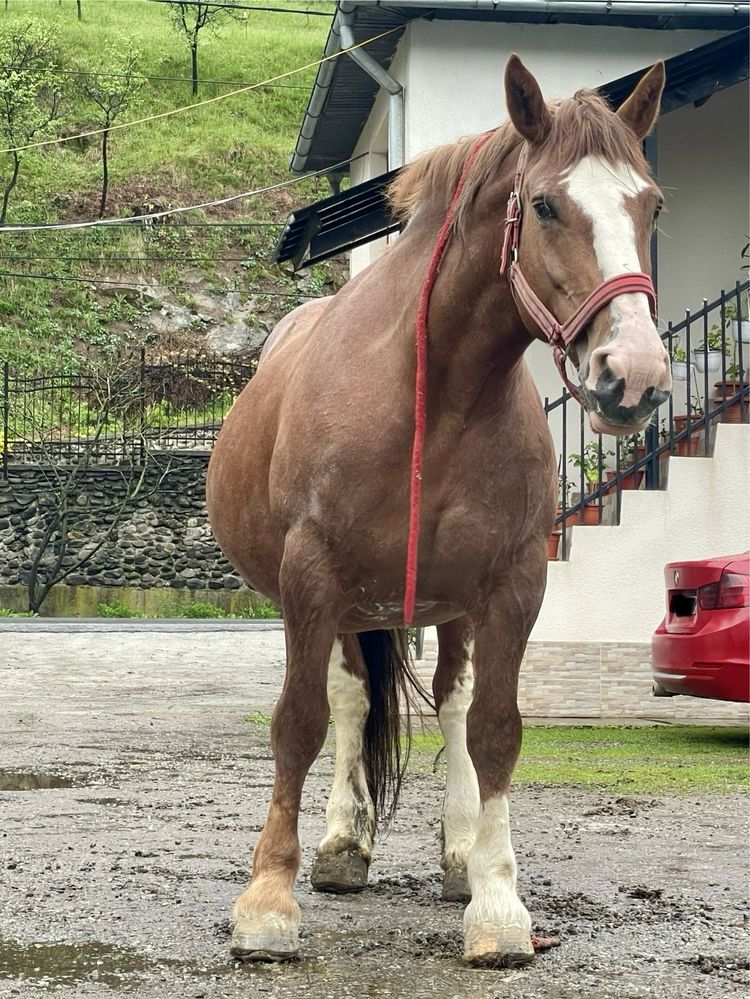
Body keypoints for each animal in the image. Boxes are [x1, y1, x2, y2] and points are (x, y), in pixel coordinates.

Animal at [209, 56, 672, 968]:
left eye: (653, 205)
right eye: (545, 204)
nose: (633, 375)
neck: (432, 392)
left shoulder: (514, 585)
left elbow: (494, 728)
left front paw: (497, 900)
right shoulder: (312, 577)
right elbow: (299, 722)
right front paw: (268, 900)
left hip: (446, 603)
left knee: (452, 704)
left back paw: (460, 853)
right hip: (345, 604)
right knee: (349, 700)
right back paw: (342, 843)